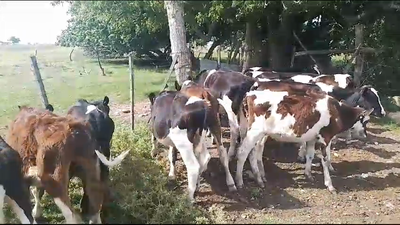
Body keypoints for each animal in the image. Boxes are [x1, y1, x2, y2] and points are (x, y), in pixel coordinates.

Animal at [236, 86, 374, 192]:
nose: (365, 134)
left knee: (254, 152)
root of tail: (249, 94)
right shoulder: (325, 137)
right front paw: (330, 185)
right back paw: (240, 182)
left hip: (257, 133)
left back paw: (259, 177)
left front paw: (308, 174)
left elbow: (310, 155)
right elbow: (325, 160)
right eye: (366, 121)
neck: (337, 112)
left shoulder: (312, 138)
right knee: (243, 152)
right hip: (254, 132)